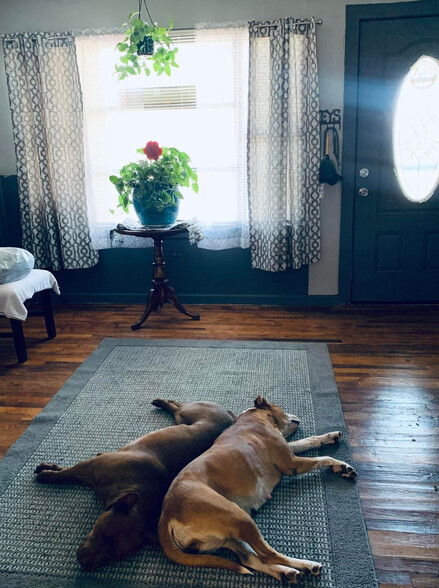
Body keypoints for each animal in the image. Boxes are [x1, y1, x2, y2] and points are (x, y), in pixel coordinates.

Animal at [32, 400, 235, 568]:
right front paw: (48, 473)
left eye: (111, 558)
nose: (84, 563)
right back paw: (161, 402)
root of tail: (230, 416)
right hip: (188, 414)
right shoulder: (89, 467)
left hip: (183, 419)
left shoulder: (90, 471)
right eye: (101, 534)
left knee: (177, 407)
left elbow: (68, 471)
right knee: (178, 405)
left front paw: (48, 470)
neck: (129, 486)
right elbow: (66, 472)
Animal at [158, 396, 358, 584]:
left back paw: (287, 572)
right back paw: (305, 564)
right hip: (237, 516)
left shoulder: (288, 449)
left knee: (249, 558)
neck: (256, 415)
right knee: (267, 555)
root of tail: (167, 513)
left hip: (228, 535)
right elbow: (322, 458)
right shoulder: (291, 463)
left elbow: (308, 440)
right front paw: (342, 465)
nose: (297, 418)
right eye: (279, 406)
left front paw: (330, 437)